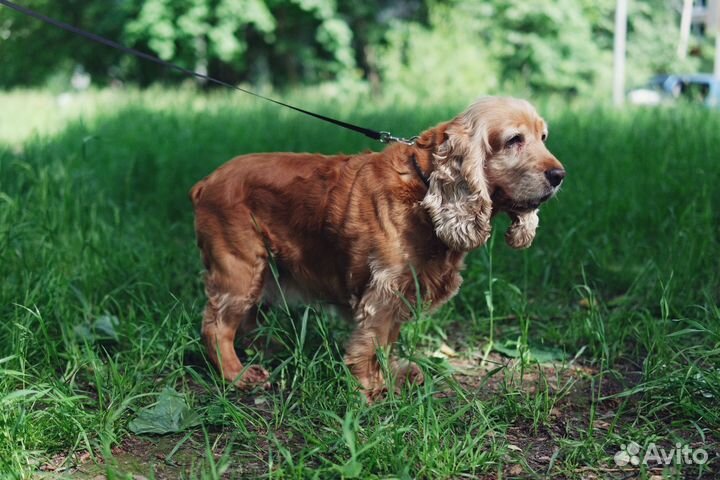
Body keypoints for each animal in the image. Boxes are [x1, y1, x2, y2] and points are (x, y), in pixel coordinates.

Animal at [193, 95, 568, 400]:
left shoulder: (405, 289)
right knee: (216, 326)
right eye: (514, 140)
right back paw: (237, 375)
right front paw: (369, 389)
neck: (425, 184)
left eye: (543, 138)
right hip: (241, 267)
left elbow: (387, 342)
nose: (559, 175)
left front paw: (392, 377)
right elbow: (371, 342)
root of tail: (205, 183)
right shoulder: (384, 288)